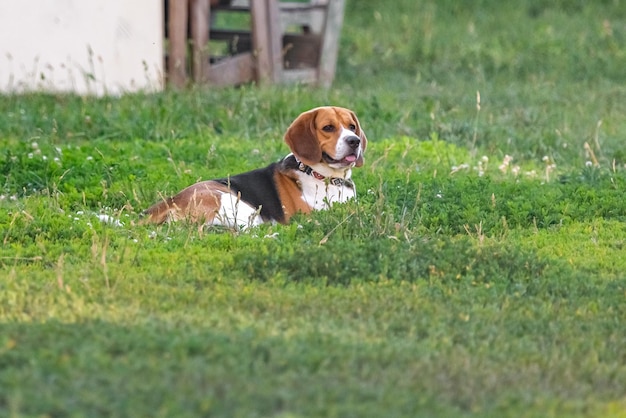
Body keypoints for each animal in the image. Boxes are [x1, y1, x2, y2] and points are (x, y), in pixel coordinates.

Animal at [141, 105, 366, 229]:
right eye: (328, 128)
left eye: (352, 126)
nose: (354, 141)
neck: (326, 178)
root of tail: (169, 201)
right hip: (237, 204)